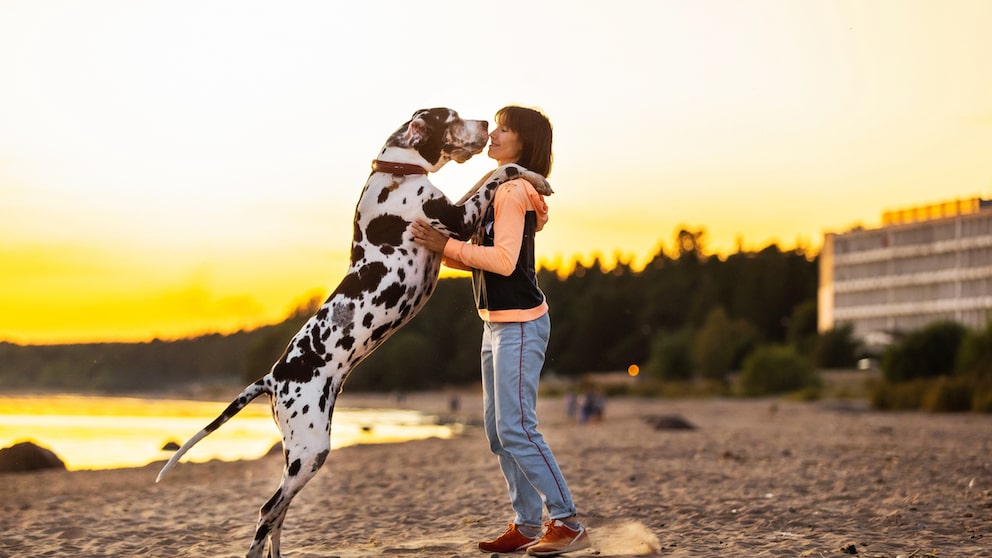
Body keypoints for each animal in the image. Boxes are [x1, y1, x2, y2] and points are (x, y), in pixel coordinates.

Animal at [155, 108, 552, 558]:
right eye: (450, 117)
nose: (486, 123)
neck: (395, 172)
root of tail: (272, 376)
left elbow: (488, 174)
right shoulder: (456, 218)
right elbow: (502, 170)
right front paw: (536, 179)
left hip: (300, 453)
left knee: (278, 513)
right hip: (310, 451)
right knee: (267, 509)